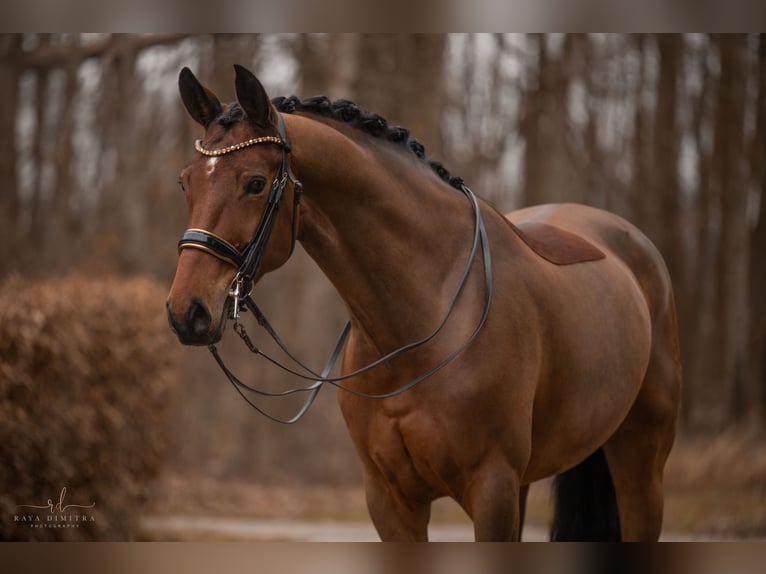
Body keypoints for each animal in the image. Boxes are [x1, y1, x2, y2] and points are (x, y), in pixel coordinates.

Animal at [168, 65, 684, 544]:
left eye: (255, 183)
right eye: (185, 182)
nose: (186, 313)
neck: (421, 322)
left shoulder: (491, 489)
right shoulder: (390, 500)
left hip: (641, 465)